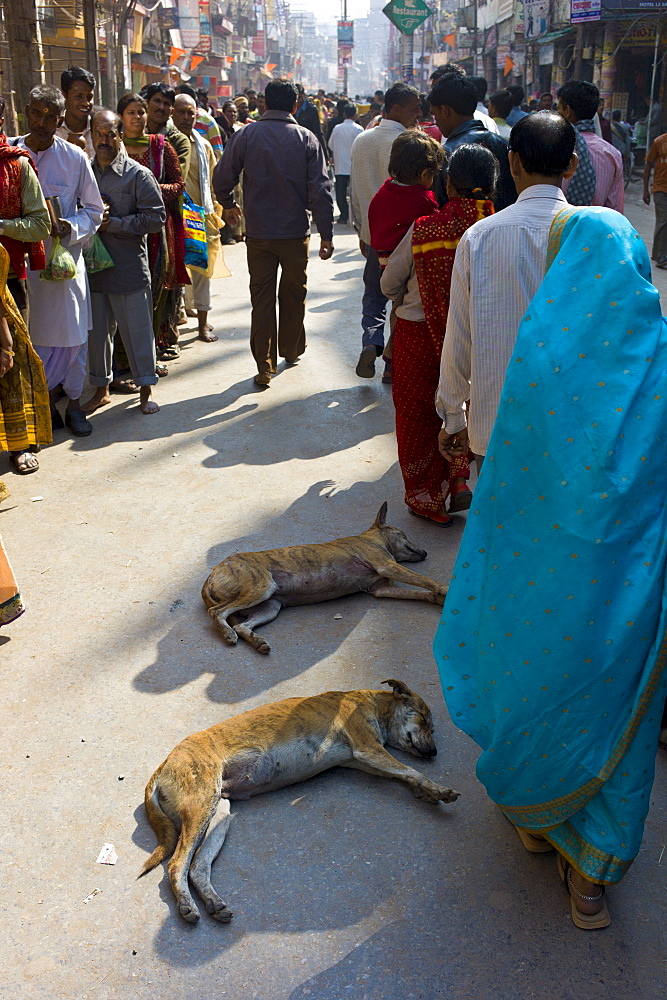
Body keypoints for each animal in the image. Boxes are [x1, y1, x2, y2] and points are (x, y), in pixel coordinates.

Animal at [140, 680, 460, 920]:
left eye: (432, 728)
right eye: (424, 719)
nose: (433, 752)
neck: (371, 701)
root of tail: (165, 763)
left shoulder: (362, 760)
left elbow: (405, 775)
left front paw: (426, 792)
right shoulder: (368, 749)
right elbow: (412, 771)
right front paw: (439, 789)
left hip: (219, 816)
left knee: (198, 867)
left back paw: (213, 903)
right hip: (201, 808)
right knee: (177, 864)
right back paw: (186, 906)